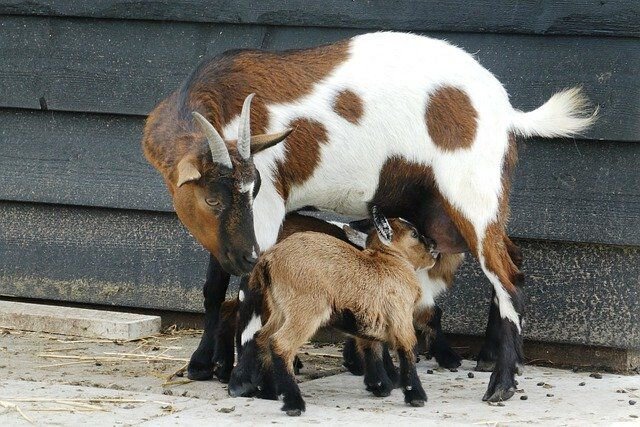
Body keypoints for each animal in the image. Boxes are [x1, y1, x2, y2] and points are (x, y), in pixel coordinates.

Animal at [248, 209, 438, 416]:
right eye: (414, 234)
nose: (434, 245)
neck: (390, 260)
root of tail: (270, 258)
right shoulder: (401, 317)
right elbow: (407, 350)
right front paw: (416, 396)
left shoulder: (370, 318)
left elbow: (371, 347)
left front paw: (379, 386)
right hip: (306, 310)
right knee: (280, 343)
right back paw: (294, 404)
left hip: (280, 308)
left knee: (261, 337)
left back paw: (266, 392)